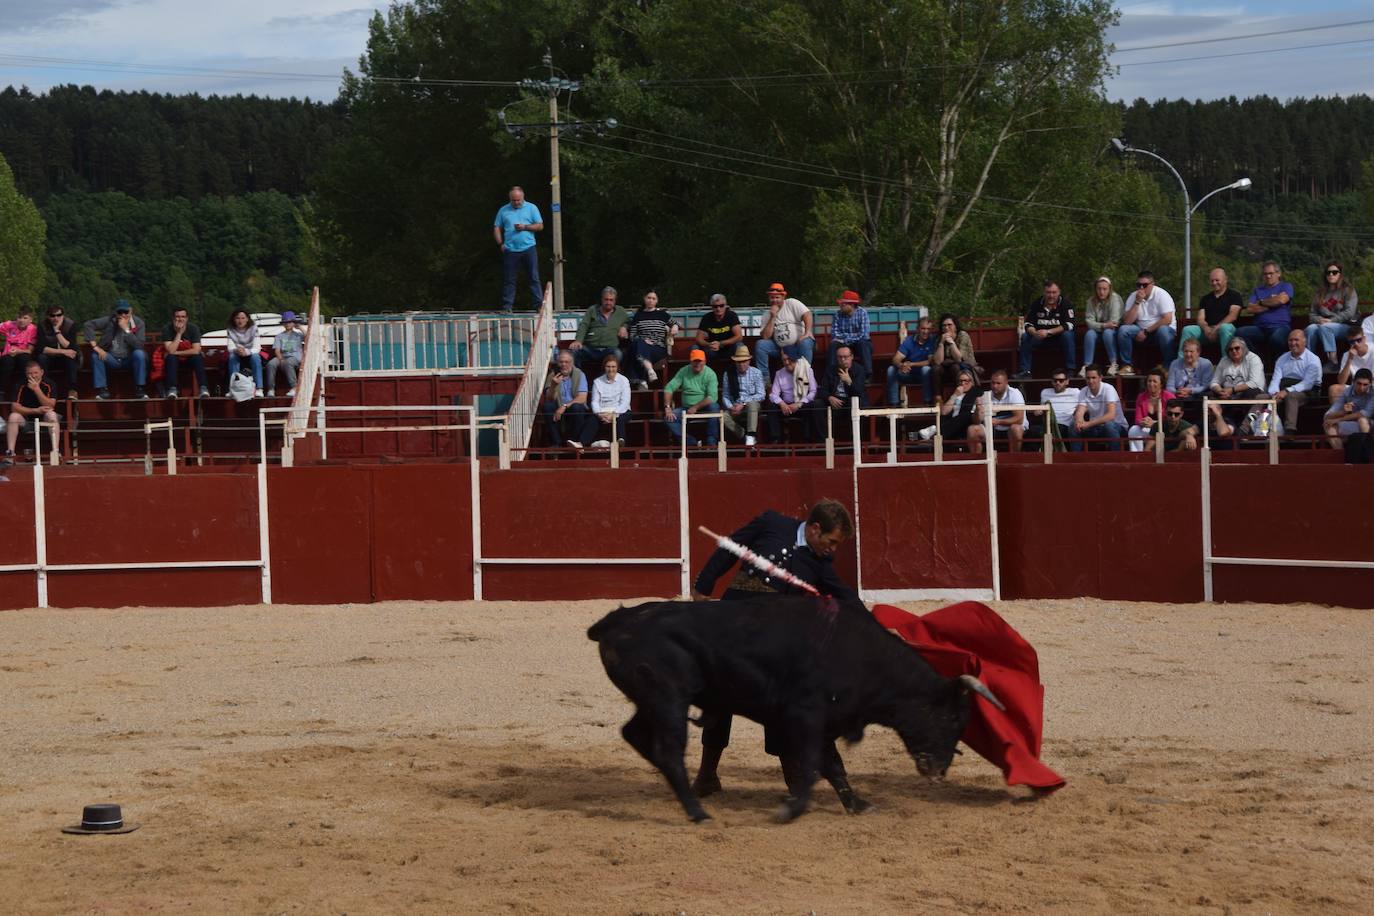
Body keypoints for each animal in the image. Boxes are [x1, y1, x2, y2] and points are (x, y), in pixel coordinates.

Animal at [585, 596, 1005, 823]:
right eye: (953, 718)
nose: (939, 771)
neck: (865, 657)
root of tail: (616, 621)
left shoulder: (825, 723)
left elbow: (833, 767)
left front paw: (857, 805)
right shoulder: (804, 717)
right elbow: (811, 768)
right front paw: (792, 809)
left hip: (652, 701)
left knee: (635, 735)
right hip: (668, 698)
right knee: (669, 750)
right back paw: (697, 810)